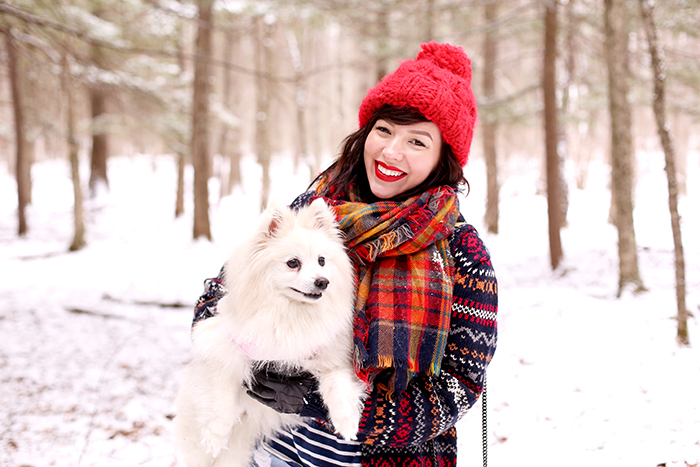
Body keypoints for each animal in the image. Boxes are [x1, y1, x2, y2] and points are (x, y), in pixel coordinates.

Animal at [174, 199, 366, 467]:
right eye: (293, 263)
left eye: (322, 260)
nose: (322, 282)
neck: (290, 311)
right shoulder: (222, 346)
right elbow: (221, 397)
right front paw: (215, 435)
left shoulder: (332, 358)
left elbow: (338, 386)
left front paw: (347, 422)